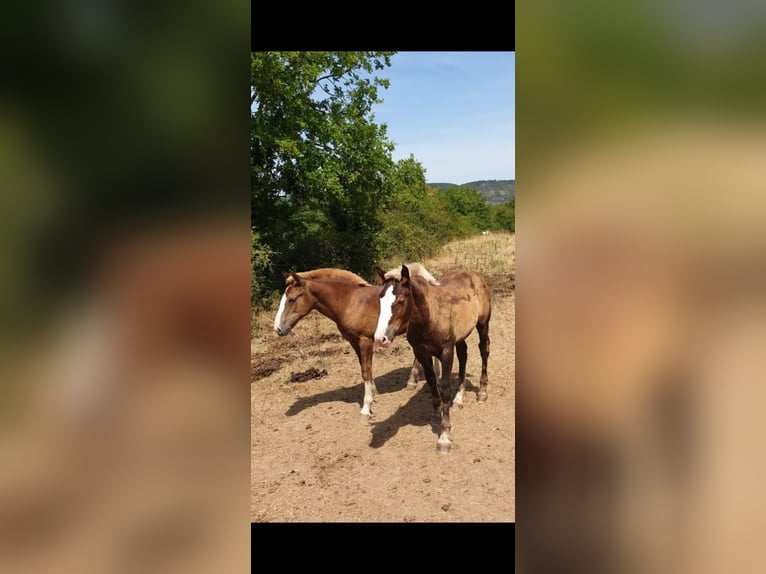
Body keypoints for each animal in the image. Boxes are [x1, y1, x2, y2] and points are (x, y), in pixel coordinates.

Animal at [272, 265, 438, 418]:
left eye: (292, 299)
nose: (278, 329)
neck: (350, 302)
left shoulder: (365, 340)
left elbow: (366, 370)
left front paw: (366, 407)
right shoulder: (353, 341)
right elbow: (364, 367)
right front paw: (373, 392)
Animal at [374, 264, 492, 453]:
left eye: (400, 301)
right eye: (380, 300)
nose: (380, 338)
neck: (429, 317)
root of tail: (473, 274)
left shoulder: (446, 351)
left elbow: (444, 387)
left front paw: (444, 436)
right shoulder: (421, 353)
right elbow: (431, 381)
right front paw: (436, 414)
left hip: (483, 324)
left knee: (484, 350)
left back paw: (482, 392)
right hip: (461, 336)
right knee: (463, 355)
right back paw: (459, 398)